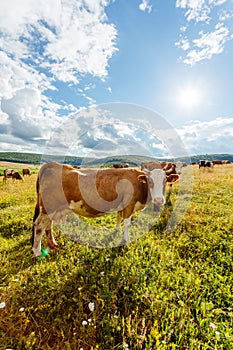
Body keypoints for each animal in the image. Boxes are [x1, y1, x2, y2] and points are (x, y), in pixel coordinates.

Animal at [31, 162, 179, 258]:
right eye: (150, 181)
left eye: (165, 181)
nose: (159, 200)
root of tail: (54, 164)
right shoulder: (129, 205)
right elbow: (127, 224)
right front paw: (127, 241)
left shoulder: (121, 205)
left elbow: (118, 218)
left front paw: (116, 231)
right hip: (48, 208)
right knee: (39, 226)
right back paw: (37, 252)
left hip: (52, 209)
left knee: (48, 225)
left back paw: (52, 243)